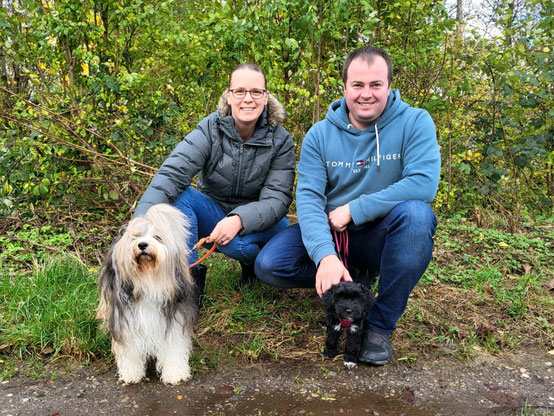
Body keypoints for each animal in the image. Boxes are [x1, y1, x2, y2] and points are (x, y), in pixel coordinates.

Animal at [97, 204, 196, 384]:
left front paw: (175, 373)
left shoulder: (174, 320)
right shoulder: (126, 320)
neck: (149, 282)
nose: (142, 244)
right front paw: (131, 373)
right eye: (136, 237)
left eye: (157, 237)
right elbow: (129, 350)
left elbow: (173, 346)